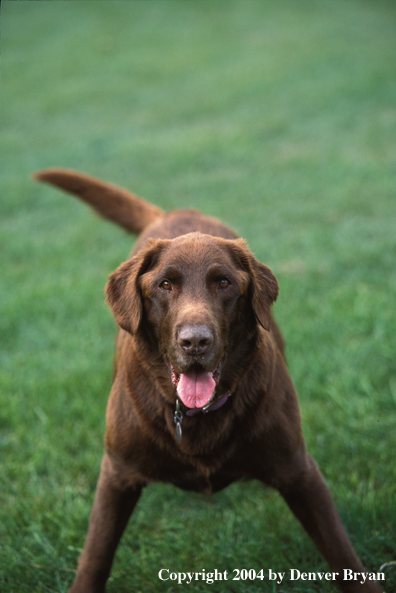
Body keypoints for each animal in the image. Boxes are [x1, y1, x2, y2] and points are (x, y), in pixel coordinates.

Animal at [34, 168, 384, 592]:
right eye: (165, 285)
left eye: (224, 283)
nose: (195, 341)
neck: (196, 416)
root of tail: (176, 212)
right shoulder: (116, 476)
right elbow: (95, 555)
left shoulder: (300, 472)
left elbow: (340, 550)